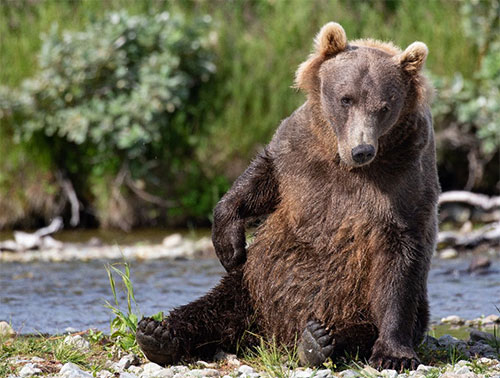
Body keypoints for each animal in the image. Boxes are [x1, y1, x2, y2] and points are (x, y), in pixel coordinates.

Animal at [137, 21, 438, 372]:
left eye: (384, 107)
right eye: (345, 98)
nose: (361, 150)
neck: (341, 161)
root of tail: (270, 336)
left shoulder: (403, 178)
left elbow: (397, 265)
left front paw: (393, 354)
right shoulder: (299, 151)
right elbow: (260, 182)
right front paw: (228, 244)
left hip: (352, 305)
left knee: (358, 326)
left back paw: (316, 342)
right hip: (250, 287)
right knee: (209, 309)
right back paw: (158, 334)